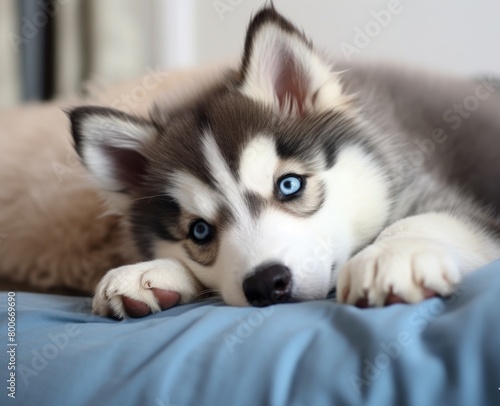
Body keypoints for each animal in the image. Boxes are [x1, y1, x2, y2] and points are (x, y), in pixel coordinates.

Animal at [69, 7, 500, 318]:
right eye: (200, 231)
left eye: (289, 185)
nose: (265, 283)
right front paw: (148, 271)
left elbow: (426, 219)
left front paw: (390, 255)